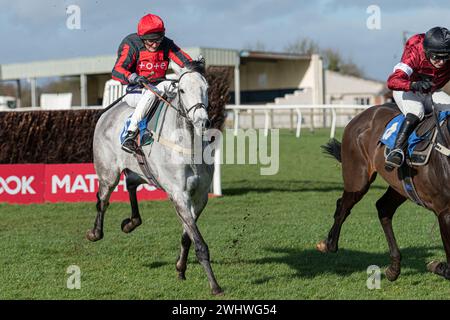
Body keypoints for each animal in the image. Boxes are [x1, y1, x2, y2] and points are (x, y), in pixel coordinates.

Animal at [86, 61, 223, 296]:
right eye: (182, 90)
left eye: (206, 88)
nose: (202, 122)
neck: (188, 147)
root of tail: (107, 113)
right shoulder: (179, 195)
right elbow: (199, 243)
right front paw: (214, 286)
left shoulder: (200, 197)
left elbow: (187, 236)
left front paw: (180, 268)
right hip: (107, 173)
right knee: (102, 200)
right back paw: (95, 232)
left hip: (141, 170)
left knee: (131, 183)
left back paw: (131, 222)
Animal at [316, 101, 450, 282]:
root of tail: (361, 115)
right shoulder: (444, 212)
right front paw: (437, 265)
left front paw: (437, 265)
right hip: (357, 179)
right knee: (343, 206)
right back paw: (328, 244)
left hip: (400, 186)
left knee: (383, 207)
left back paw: (393, 268)